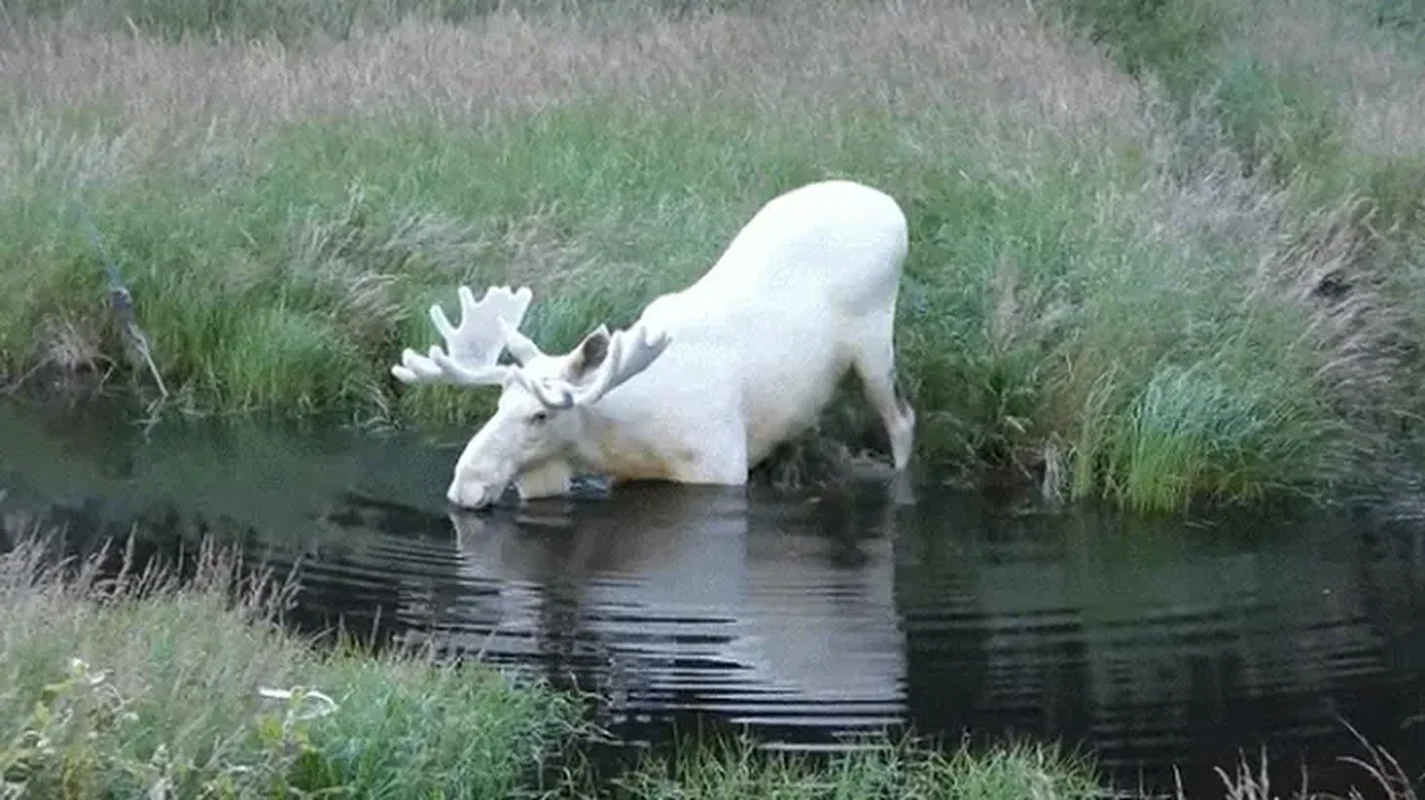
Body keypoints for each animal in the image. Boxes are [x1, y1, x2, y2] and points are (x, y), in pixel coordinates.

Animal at [391, 179, 917, 510]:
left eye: (540, 415)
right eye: (498, 403)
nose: (465, 485)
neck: (622, 437)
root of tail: (892, 206)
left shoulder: (721, 466)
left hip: (874, 343)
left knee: (902, 419)